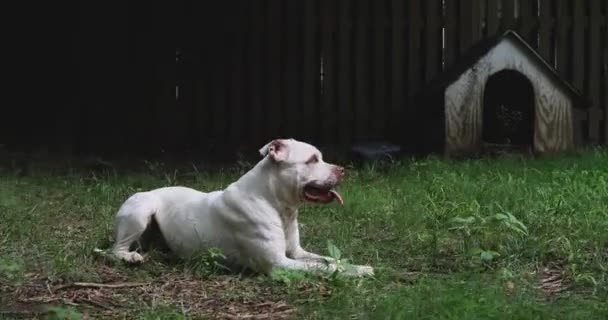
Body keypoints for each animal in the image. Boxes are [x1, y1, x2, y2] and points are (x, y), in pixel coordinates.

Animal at [110, 139, 376, 276]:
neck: (276, 203)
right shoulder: (280, 263)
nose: (342, 170)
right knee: (115, 250)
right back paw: (129, 257)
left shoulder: (297, 253)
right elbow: (324, 267)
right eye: (312, 160)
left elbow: (329, 259)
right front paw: (357, 271)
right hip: (140, 212)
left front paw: (359, 266)